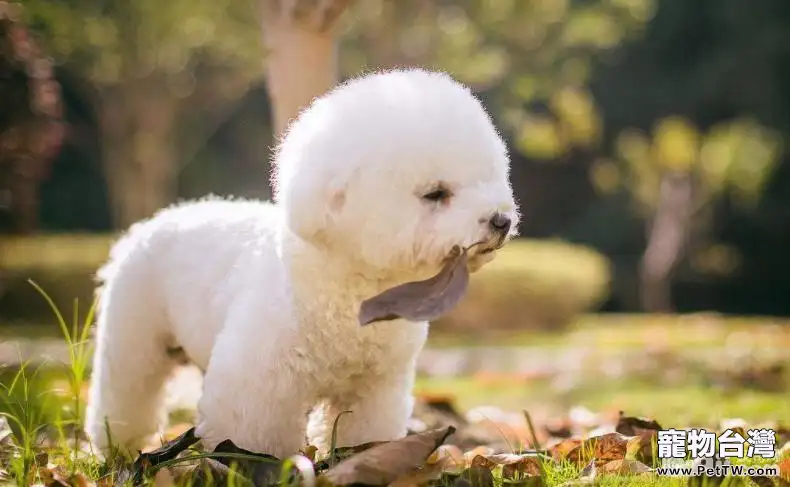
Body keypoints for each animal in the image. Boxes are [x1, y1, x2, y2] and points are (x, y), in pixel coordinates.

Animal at [85, 68, 520, 458]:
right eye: (436, 194)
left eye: (488, 178)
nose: (501, 220)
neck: (354, 286)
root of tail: (148, 225)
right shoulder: (258, 382)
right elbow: (253, 437)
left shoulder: (375, 385)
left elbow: (364, 432)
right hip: (133, 337)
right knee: (126, 391)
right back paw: (116, 448)